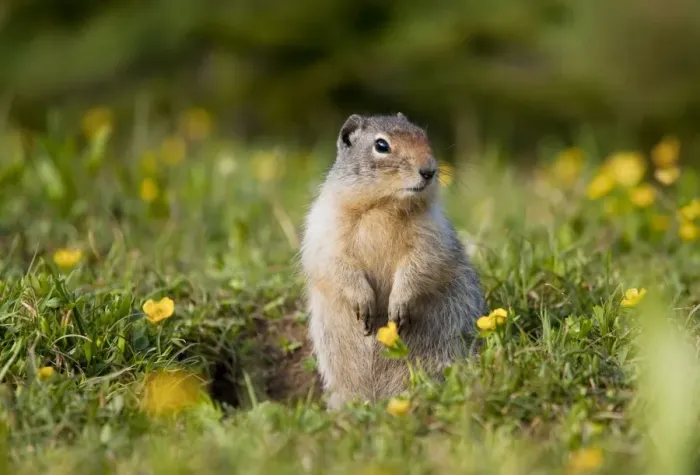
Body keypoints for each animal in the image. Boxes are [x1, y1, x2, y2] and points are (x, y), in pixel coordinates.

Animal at [300, 113, 487, 409]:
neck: (384, 206)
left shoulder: (431, 234)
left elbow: (420, 264)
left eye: (423, 135)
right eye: (381, 145)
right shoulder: (326, 227)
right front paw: (363, 304)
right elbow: (335, 262)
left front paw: (398, 307)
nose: (429, 170)